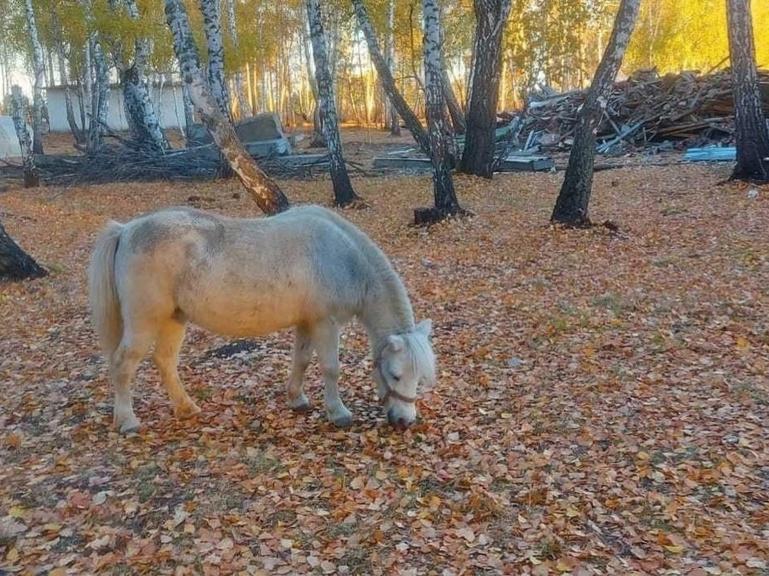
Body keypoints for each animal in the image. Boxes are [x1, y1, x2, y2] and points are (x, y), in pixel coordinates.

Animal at [87, 205, 436, 434]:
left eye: (419, 377)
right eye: (394, 374)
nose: (405, 421)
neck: (340, 256)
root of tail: (126, 230)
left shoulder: (307, 323)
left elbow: (301, 361)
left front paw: (297, 398)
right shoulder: (325, 323)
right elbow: (330, 368)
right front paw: (337, 412)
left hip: (174, 320)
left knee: (165, 361)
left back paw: (186, 407)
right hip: (144, 323)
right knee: (123, 364)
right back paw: (128, 421)